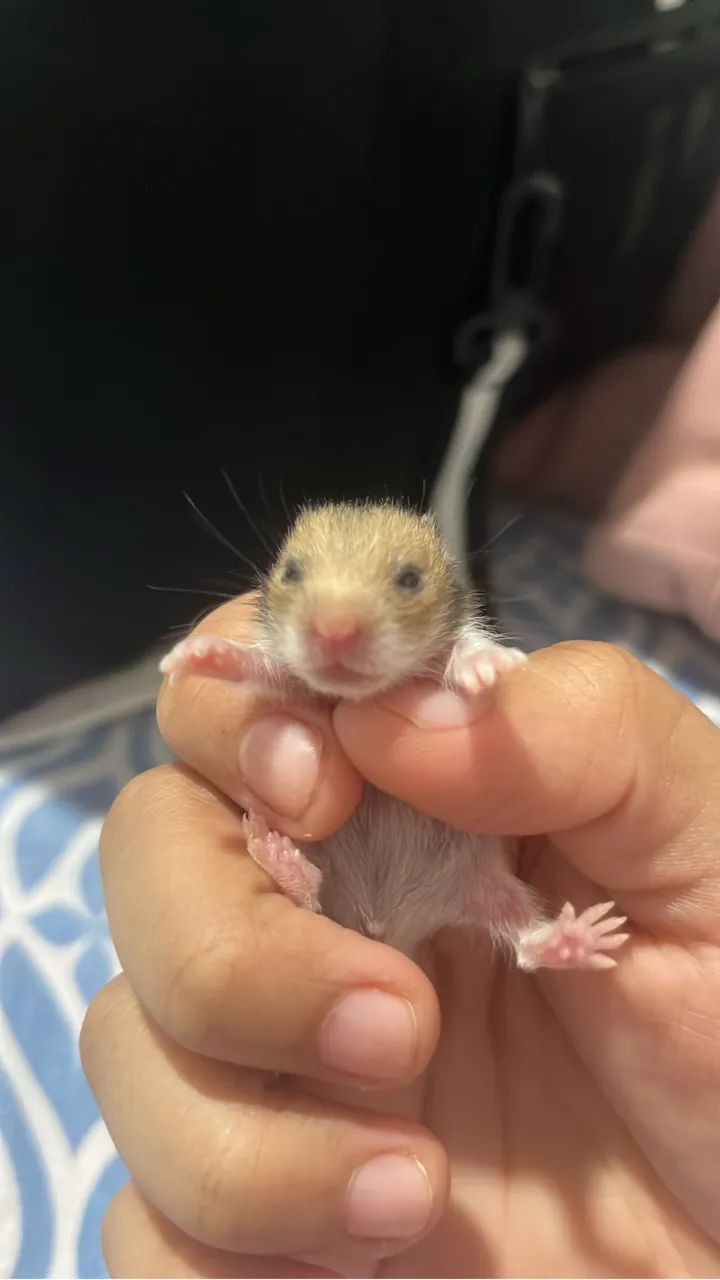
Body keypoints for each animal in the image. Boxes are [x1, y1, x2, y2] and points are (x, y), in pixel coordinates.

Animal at [160, 501, 628, 971]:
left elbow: (467, 646)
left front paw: (487, 666)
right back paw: (280, 859)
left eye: (409, 579)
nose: (333, 630)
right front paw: (203, 653)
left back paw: (576, 939)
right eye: (291, 572)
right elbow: (263, 669)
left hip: (480, 884)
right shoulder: (297, 686)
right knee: (310, 899)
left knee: (527, 943)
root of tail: (386, 928)